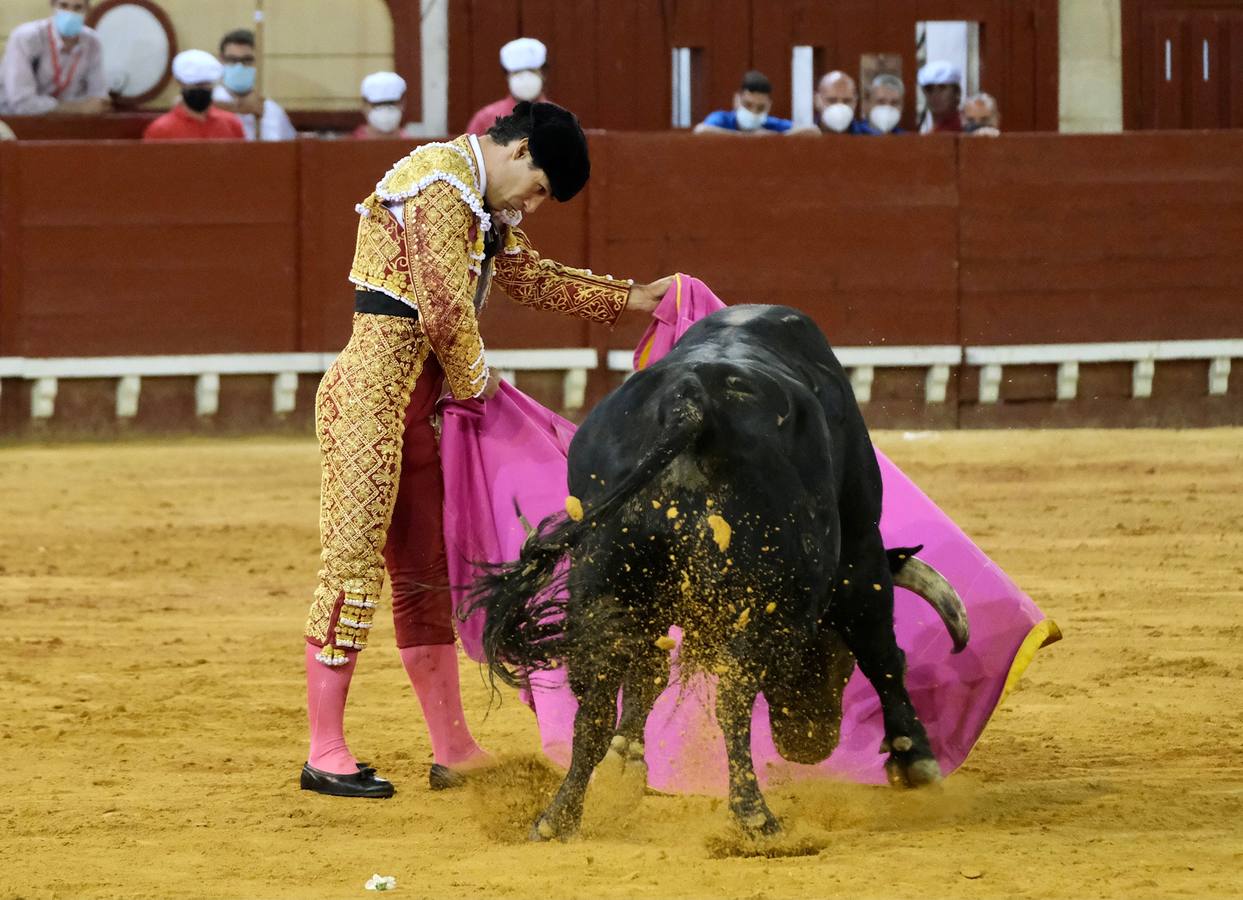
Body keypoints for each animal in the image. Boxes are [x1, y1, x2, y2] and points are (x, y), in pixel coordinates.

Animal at [467, 305, 969, 840]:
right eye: (839, 662)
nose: (810, 745)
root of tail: (689, 403)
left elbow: (647, 678)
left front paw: (627, 764)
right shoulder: (860, 552)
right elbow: (882, 653)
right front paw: (916, 760)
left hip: (603, 585)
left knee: (597, 706)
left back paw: (558, 818)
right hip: (761, 594)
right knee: (733, 699)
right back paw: (754, 815)